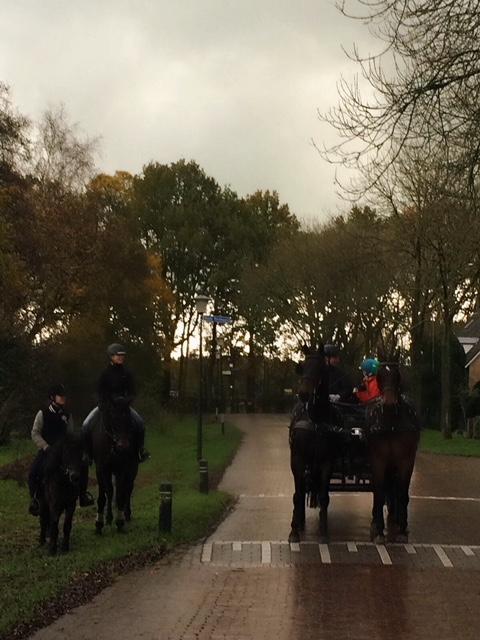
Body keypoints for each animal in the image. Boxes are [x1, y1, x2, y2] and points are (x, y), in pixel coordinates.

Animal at [288, 348, 338, 544]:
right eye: (302, 367)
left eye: (319, 368)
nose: (303, 394)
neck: (316, 420)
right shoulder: (298, 460)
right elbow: (297, 495)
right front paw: (294, 531)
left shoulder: (327, 462)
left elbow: (324, 497)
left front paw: (323, 532)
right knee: (301, 488)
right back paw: (299, 522)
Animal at [368, 362, 420, 544]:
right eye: (380, 374)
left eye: (397, 374)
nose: (389, 402)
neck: (391, 424)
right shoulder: (378, 459)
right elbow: (378, 491)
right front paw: (378, 531)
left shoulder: (406, 460)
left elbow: (403, 491)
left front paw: (402, 530)